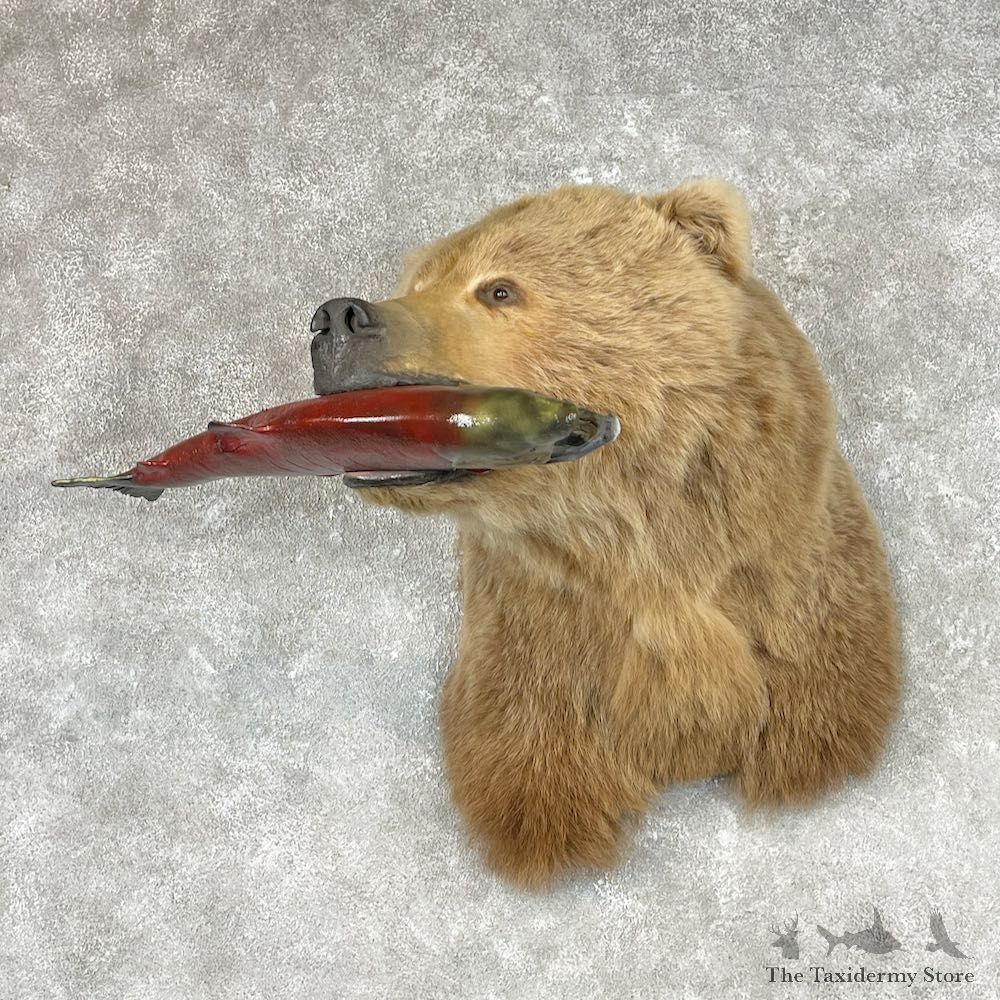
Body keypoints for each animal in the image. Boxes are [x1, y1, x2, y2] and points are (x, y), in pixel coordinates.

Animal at [314, 179, 902, 890]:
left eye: (498, 289)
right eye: (417, 280)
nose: (337, 317)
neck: (638, 532)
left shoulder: (788, 570)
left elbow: (819, 688)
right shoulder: (541, 620)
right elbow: (529, 751)